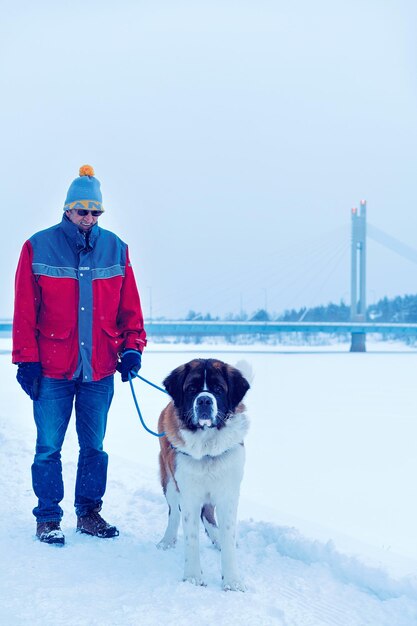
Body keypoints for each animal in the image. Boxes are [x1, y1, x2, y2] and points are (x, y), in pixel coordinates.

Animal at [156, 358, 249, 588]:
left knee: (208, 515)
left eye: (218, 389)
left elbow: (228, 535)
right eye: (191, 389)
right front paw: (192, 577)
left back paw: (217, 538)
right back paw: (167, 541)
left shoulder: (228, 494)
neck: (208, 448)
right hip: (169, 481)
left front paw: (232, 581)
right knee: (174, 513)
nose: (204, 400)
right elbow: (191, 537)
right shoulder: (188, 494)